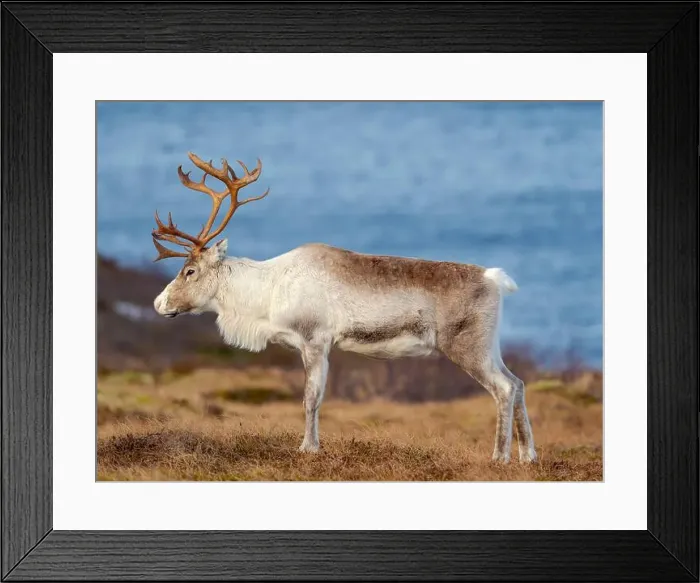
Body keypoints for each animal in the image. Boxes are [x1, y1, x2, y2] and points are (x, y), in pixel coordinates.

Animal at [152, 151, 537, 463]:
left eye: (190, 270)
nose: (158, 303)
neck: (268, 292)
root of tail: (494, 279)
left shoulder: (314, 340)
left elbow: (311, 398)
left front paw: (308, 448)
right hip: (489, 345)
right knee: (518, 383)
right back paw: (528, 456)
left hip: (466, 346)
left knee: (504, 389)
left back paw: (499, 457)